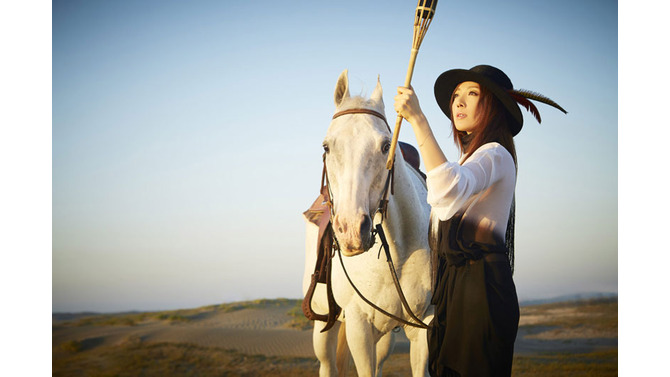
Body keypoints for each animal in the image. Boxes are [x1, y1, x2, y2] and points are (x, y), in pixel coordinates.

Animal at [306, 70, 436, 374]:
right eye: (326, 146)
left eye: (386, 145)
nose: (352, 231)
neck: (397, 254)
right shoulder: (358, 327)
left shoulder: (423, 325)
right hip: (324, 327)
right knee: (328, 365)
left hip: (385, 337)